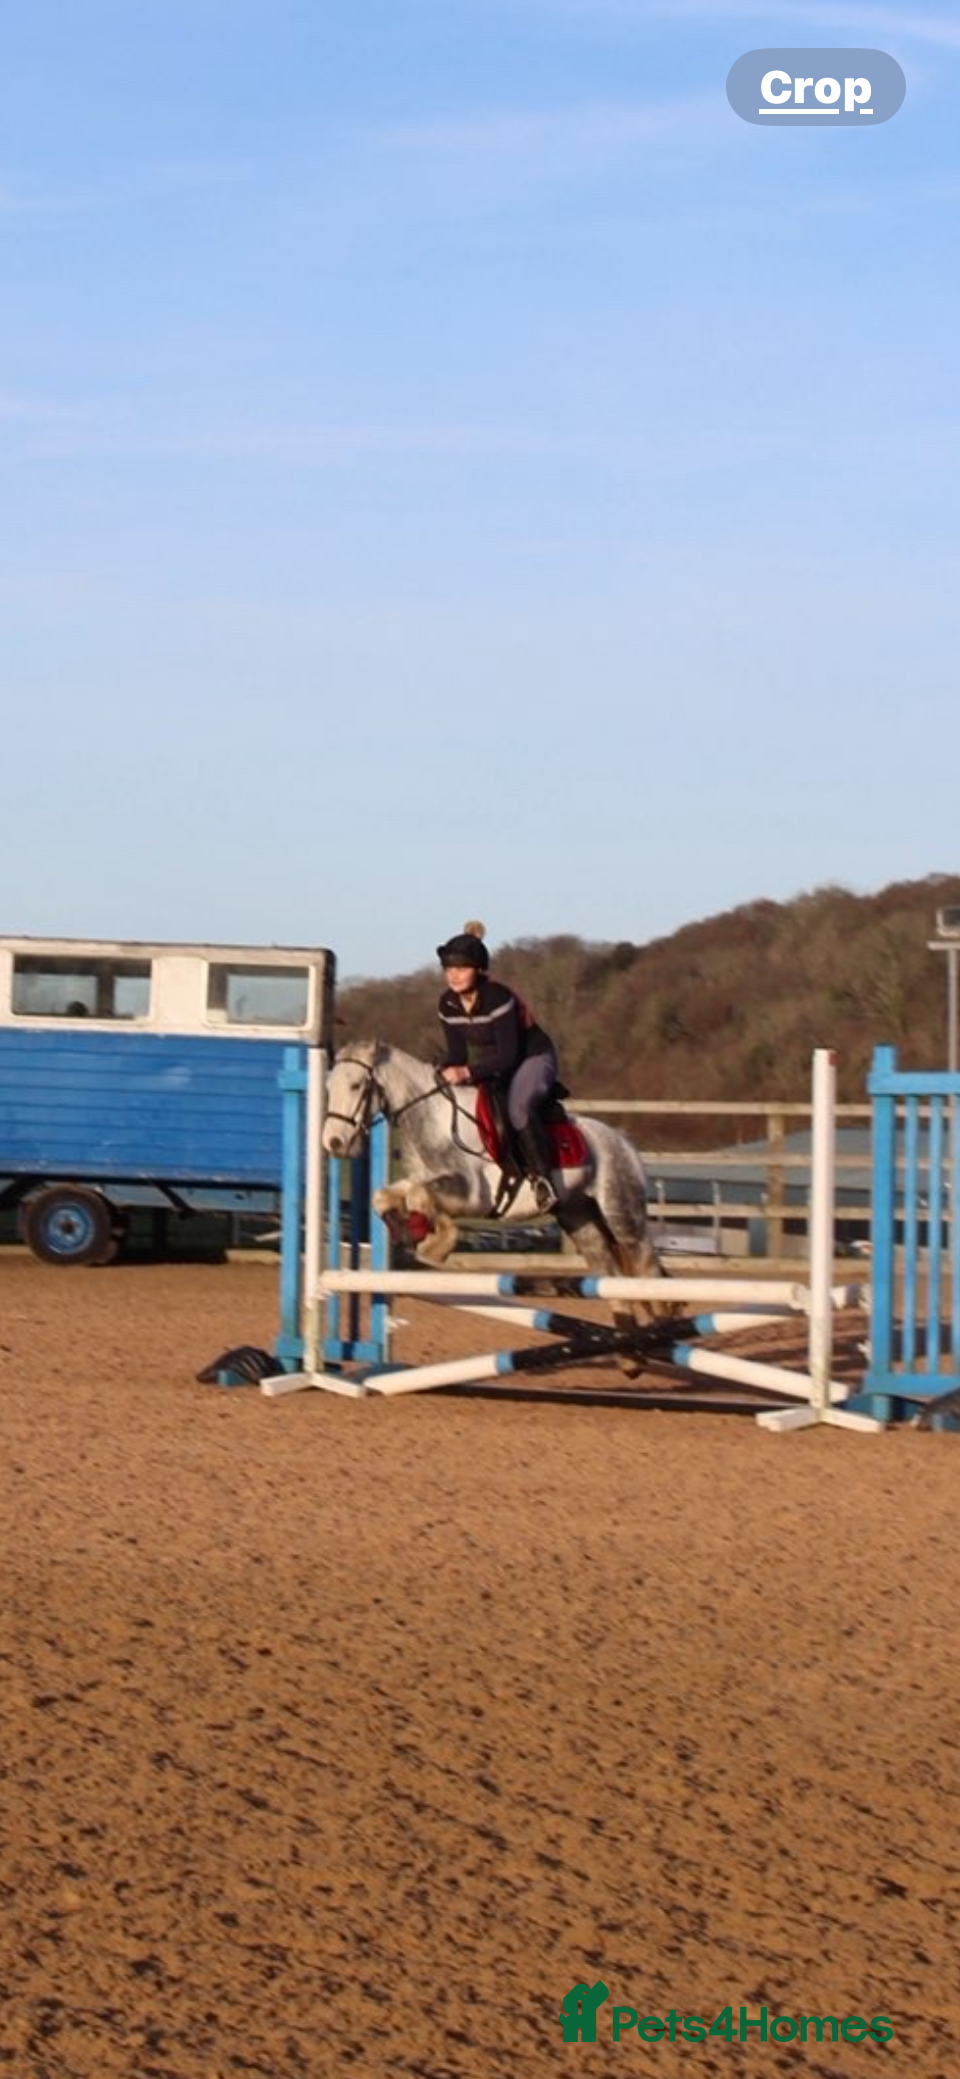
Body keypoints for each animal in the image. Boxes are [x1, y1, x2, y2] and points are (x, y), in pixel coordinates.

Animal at [321, 1039, 672, 1372]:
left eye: (356, 1086)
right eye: (328, 1087)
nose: (333, 1143)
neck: (434, 1120)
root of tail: (623, 1140)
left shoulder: (474, 1194)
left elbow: (421, 1197)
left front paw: (437, 1243)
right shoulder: (424, 1181)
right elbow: (387, 1196)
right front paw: (415, 1232)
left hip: (622, 1214)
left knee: (645, 1267)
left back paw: (662, 1328)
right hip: (579, 1220)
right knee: (610, 1273)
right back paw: (630, 1358)